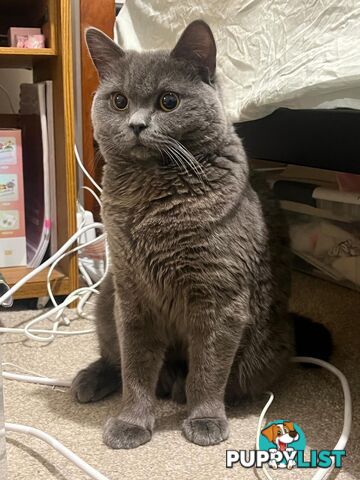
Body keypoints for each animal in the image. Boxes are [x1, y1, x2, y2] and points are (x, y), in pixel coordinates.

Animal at [71, 20, 332, 448]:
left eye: (169, 102)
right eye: (119, 101)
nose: (136, 125)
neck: (151, 198)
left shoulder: (220, 297)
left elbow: (209, 370)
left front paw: (205, 419)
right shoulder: (132, 294)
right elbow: (136, 367)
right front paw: (131, 423)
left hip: (259, 350)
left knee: (225, 379)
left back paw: (180, 389)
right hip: (107, 298)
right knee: (115, 357)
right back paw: (91, 379)